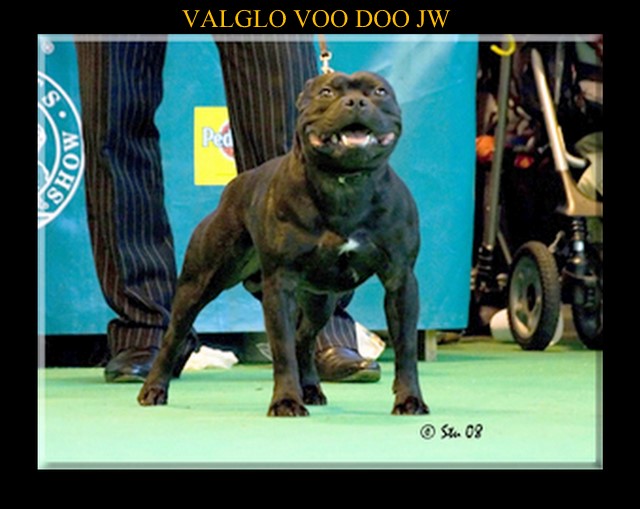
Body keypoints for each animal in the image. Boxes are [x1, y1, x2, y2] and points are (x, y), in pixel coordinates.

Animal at [138, 71, 429, 416]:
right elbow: (282, 349)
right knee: (174, 335)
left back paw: (312, 388)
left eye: (380, 91)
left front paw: (410, 399)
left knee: (304, 338)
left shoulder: (400, 282)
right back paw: (153, 388)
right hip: (199, 284)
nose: (356, 102)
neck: (344, 186)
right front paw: (286, 401)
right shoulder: (280, 285)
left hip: (321, 301)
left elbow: (406, 348)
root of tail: (235, 185)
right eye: (326, 92)